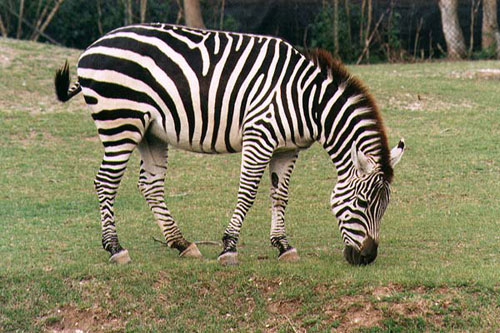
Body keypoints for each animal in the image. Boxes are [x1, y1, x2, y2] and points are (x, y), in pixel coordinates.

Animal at [54, 23, 404, 266]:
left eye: (385, 207)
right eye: (361, 204)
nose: (368, 258)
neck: (309, 102)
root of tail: (94, 46)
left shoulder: (288, 149)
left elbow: (280, 195)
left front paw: (283, 246)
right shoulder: (259, 136)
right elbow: (248, 192)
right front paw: (229, 247)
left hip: (150, 132)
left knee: (150, 184)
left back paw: (181, 244)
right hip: (120, 121)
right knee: (105, 182)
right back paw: (115, 248)